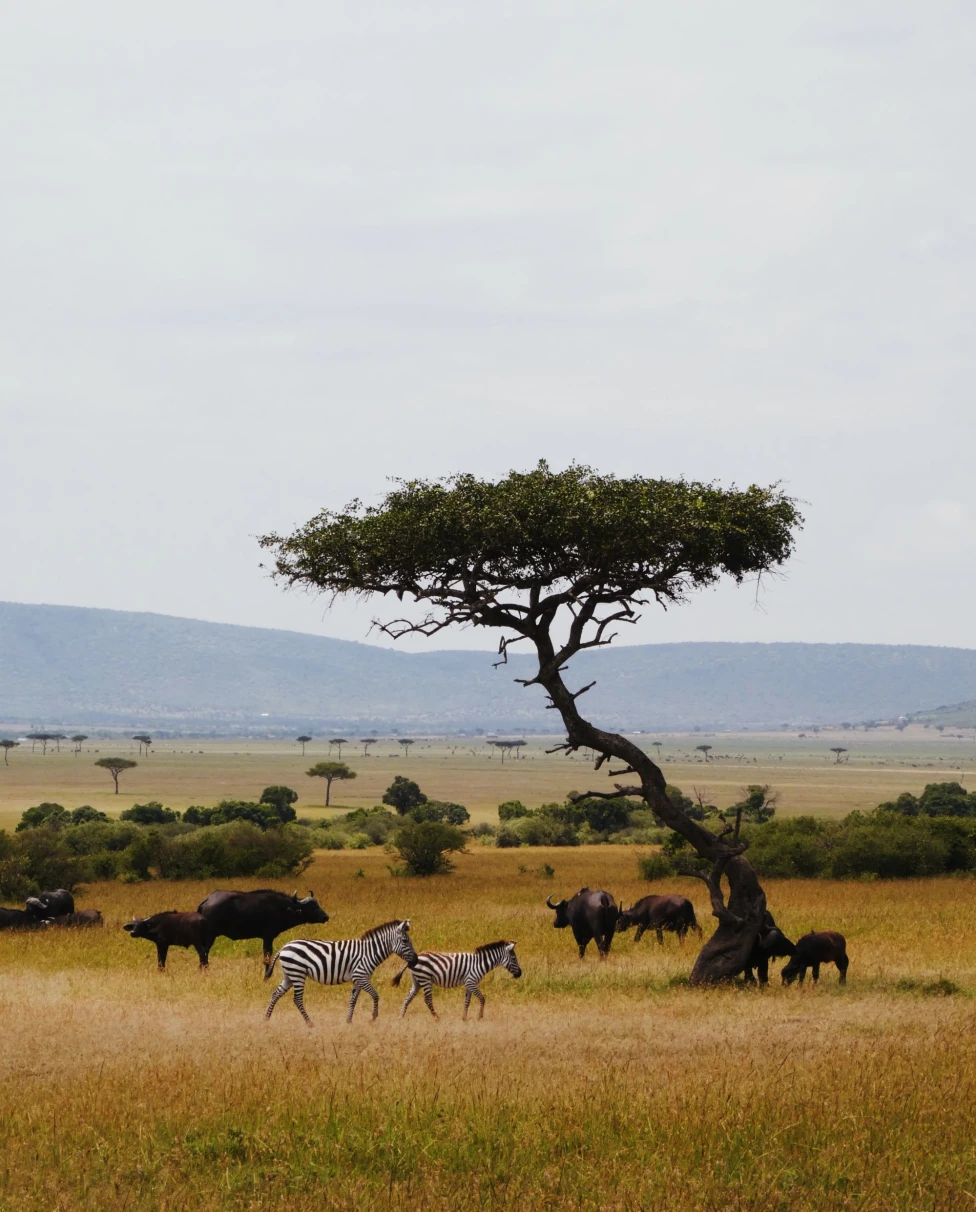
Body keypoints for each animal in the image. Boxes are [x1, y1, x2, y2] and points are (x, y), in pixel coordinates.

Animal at [264, 919, 418, 1026]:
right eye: (405, 941)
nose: (416, 961)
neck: (369, 953)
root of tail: (285, 946)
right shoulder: (360, 976)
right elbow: (375, 995)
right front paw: (373, 1017)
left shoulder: (358, 979)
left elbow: (353, 1000)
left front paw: (349, 1021)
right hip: (298, 974)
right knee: (297, 999)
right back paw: (309, 1023)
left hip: (289, 975)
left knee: (276, 994)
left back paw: (267, 1019)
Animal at [391, 940, 521, 1020]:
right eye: (514, 959)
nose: (520, 974)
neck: (479, 964)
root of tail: (414, 958)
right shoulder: (471, 981)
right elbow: (482, 998)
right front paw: (480, 1017)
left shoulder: (469, 984)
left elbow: (467, 1001)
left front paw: (464, 1018)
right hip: (425, 979)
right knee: (427, 1000)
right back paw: (437, 1018)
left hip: (417, 981)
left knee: (408, 998)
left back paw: (401, 1017)